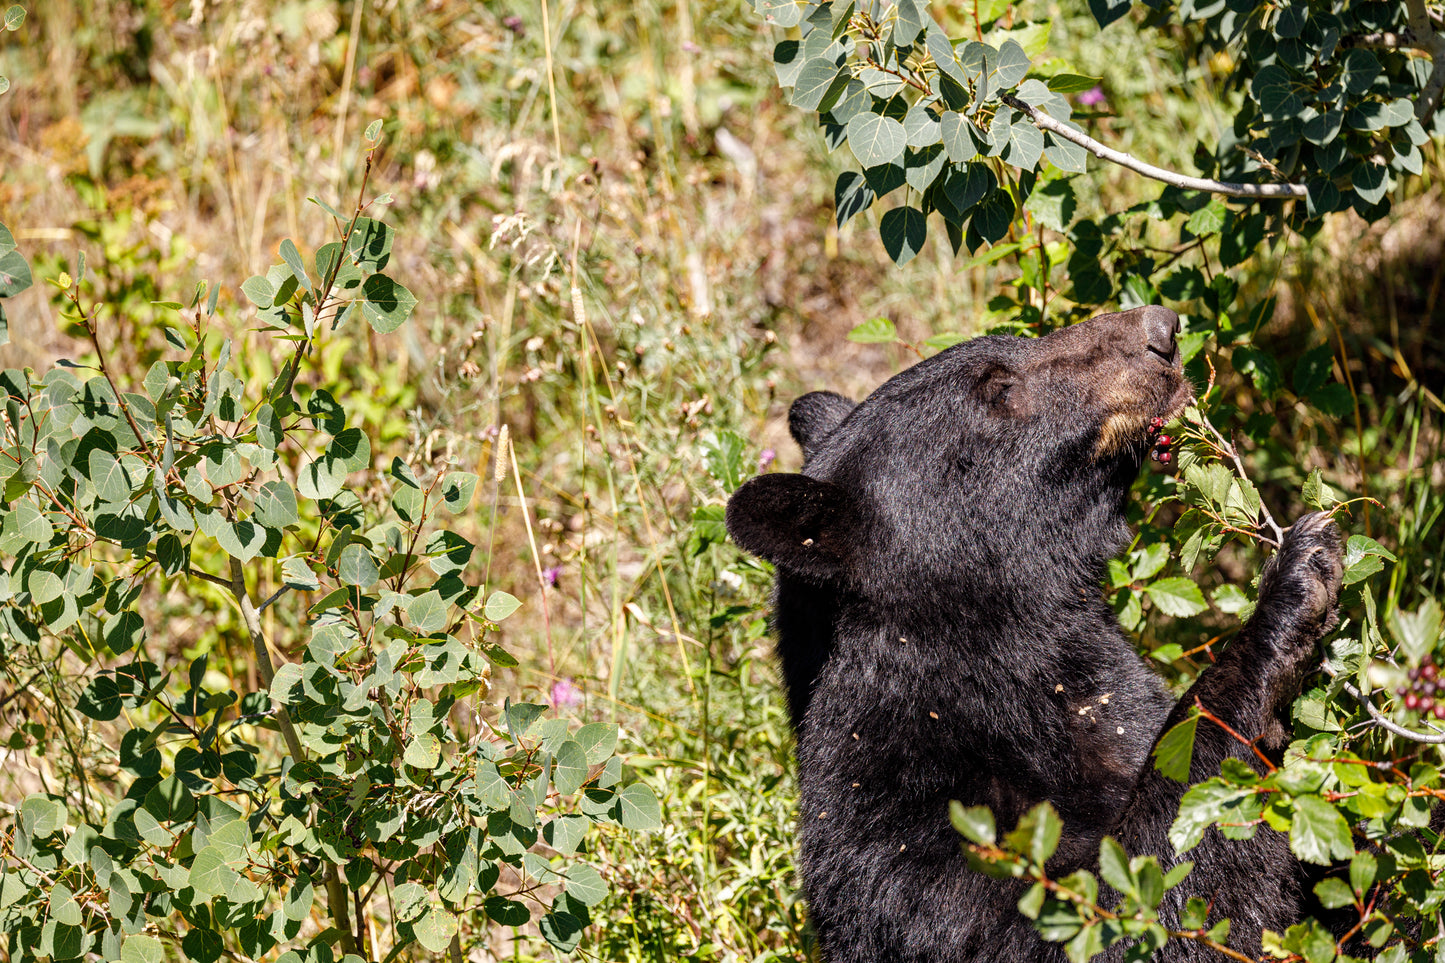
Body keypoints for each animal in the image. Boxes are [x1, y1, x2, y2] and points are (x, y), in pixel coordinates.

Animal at [728, 305, 1346, 960]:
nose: (1161, 329)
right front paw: (1294, 585)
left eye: (1018, 344)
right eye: (998, 389)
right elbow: (1124, 913)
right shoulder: (904, 836)